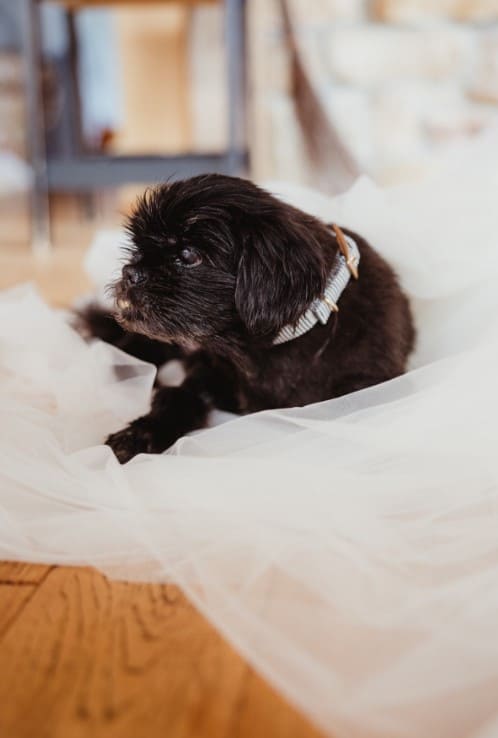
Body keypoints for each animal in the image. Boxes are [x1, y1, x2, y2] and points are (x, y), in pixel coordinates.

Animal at [80, 173, 412, 460]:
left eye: (188, 255)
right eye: (137, 248)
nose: (130, 271)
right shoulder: (208, 369)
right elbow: (176, 397)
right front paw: (139, 435)